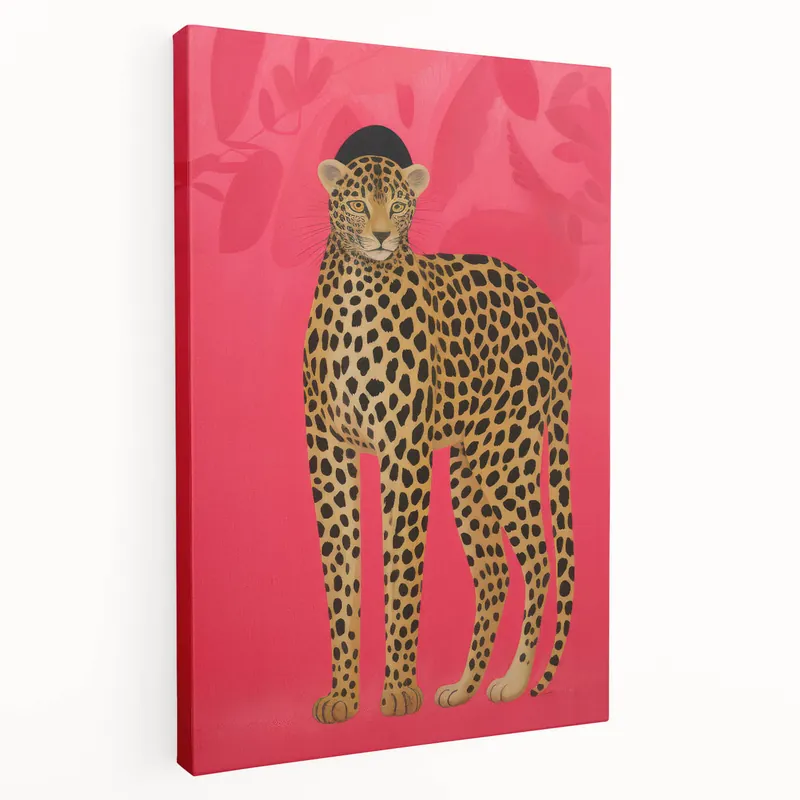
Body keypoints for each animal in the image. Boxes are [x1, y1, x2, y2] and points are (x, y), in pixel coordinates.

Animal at [303, 127, 574, 724]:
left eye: (400, 204)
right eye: (358, 204)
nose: (382, 236)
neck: (358, 288)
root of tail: (544, 301)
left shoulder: (404, 452)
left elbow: (402, 568)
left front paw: (399, 691)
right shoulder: (327, 453)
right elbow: (340, 574)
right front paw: (343, 696)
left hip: (507, 459)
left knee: (540, 560)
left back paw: (513, 682)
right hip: (469, 472)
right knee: (495, 573)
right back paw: (464, 688)